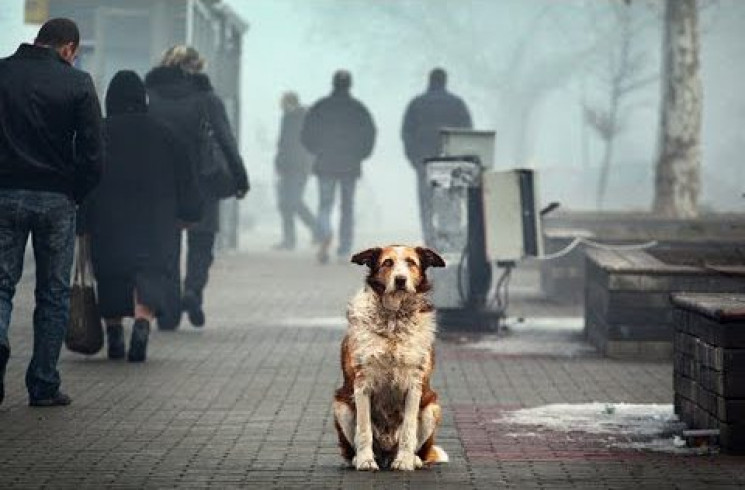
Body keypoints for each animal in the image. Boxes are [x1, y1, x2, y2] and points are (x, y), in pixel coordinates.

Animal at [332, 245, 448, 470]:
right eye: (387, 263)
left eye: (411, 262)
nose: (400, 280)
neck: (394, 318)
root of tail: (386, 454)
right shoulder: (362, 384)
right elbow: (364, 429)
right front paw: (366, 461)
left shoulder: (414, 385)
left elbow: (408, 430)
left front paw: (404, 462)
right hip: (341, 406)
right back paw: (360, 458)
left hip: (432, 408)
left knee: (417, 446)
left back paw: (412, 459)